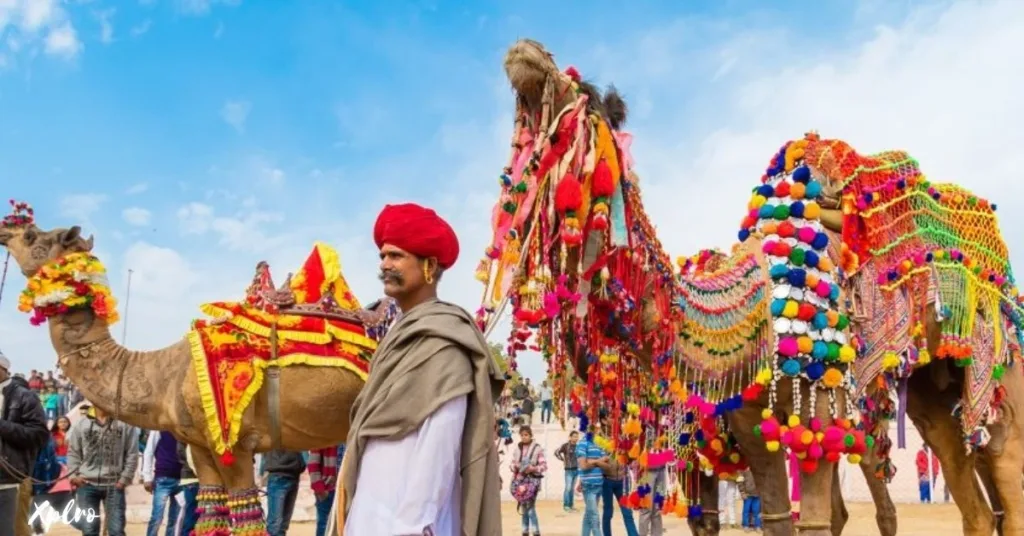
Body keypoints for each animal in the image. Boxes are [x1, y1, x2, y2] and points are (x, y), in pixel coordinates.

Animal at [0, 205, 395, 536]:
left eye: (32, 236)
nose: (6, 227)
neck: (164, 375)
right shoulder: (202, 447)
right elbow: (209, 514)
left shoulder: (237, 444)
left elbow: (246, 518)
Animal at [479, 39, 864, 536]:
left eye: (580, 92)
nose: (526, 51)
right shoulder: (736, 420)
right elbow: (764, 514)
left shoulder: (817, 399)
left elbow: (808, 519)